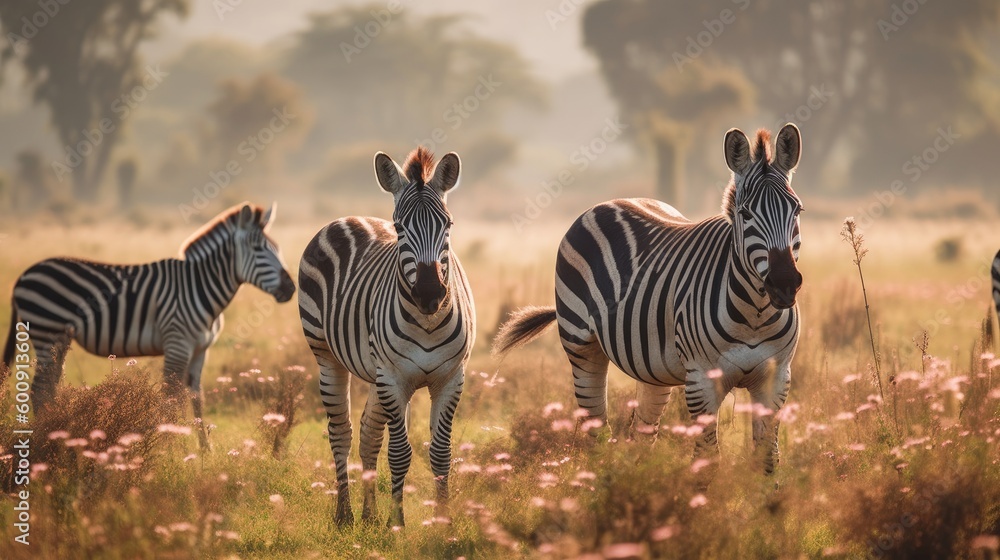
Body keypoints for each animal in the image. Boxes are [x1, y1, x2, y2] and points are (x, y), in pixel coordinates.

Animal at [2, 202, 296, 446]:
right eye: (258, 250)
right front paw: (171, 448)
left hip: (58, 339)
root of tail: (23, 275)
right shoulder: (177, 343)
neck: (200, 286)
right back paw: (46, 436)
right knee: (39, 390)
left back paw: (54, 431)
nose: (291, 289)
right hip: (46, 331)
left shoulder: (200, 350)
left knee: (48, 387)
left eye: (278, 249)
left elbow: (197, 399)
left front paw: (204, 451)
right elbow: (171, 398)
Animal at [298, 147, 475, 528]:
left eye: (448, 225)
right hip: (328, 358)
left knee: (367, 434)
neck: (427, 321)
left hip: (377, 374)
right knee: (342, 434)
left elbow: (441, 452)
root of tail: (348, 217)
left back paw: (368, 516)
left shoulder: (451, 378)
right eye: (399, 228)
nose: (429, 294)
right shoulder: (393, 378)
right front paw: (397, 523)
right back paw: (345, 516)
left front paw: (444, 523)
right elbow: (399, 453)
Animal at [494, 124, 804, 475]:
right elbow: (707, 460)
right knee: (596, 430)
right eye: (745, 213)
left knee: (642, 433)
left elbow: (768, 460)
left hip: (654, 368)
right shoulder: (701, 380)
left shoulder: (776, 379)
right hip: (581, 348)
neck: (755, 313)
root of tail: (610, 202)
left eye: (797, 209)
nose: (784, 284)